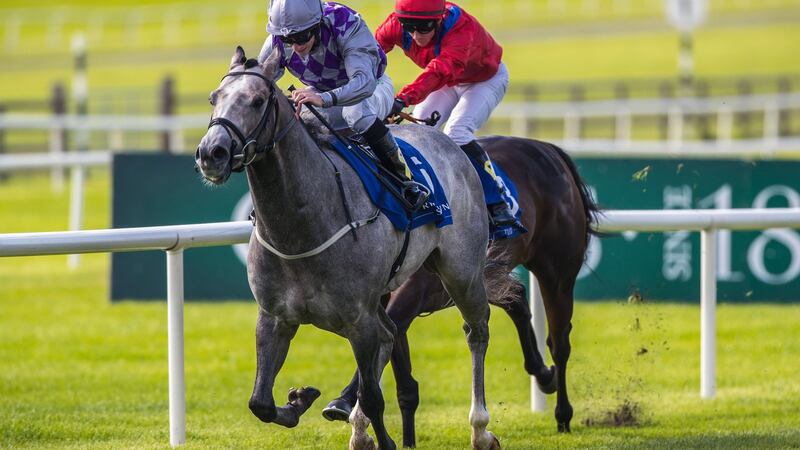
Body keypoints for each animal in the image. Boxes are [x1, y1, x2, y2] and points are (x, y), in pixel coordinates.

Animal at [192, 46, 512, 450]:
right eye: (213, 98)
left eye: (258, 100)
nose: (211, 153)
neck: (300, 228)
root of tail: (447, 142)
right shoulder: (275, 316)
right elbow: (260, 402)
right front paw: (299, 400)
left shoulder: (358, 320)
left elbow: (374, 398)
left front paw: (382, 437)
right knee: (390, 332)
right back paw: (357, 428)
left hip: (461, 271)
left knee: (476, 331)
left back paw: (480, 429)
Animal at [322, 135, 596, 448]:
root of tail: (547, 148)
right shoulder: (377, 299)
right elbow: (404, 383)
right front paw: (405, 439)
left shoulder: (410, 294)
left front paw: (343, 402)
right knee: (516, 297)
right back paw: (542, 374)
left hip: (556, 273)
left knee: (559, 343)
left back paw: (563, 412)